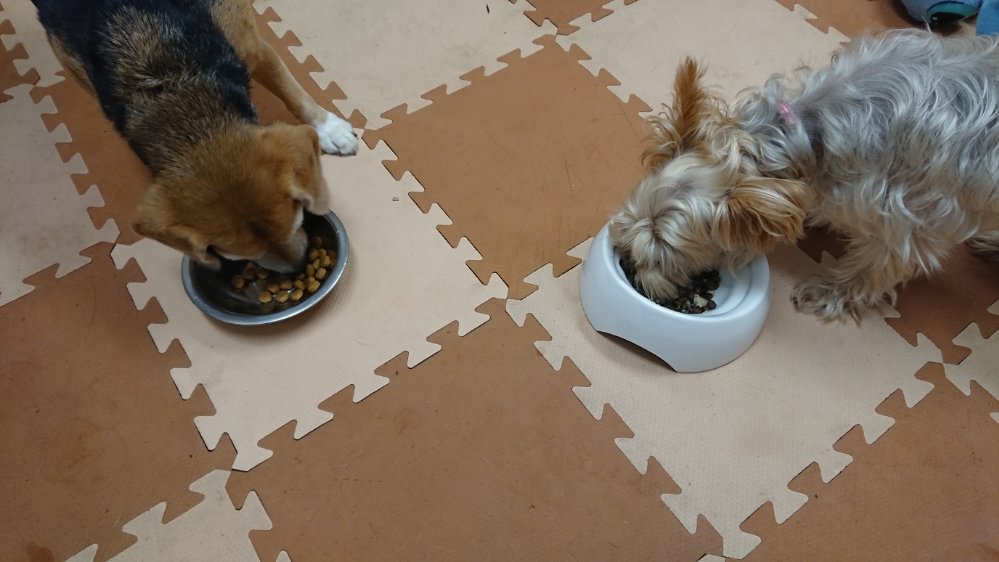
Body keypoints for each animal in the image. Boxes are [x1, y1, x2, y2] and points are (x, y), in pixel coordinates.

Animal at [32, 0, 359, 273]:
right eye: (238, 256)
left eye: (298, 217)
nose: (298, 268)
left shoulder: (252, 47)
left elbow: (293, 93)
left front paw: (329, 129)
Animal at [610, 29, 999, 322]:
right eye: (628, 222)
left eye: (660, 254)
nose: (625, 258)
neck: (803, 134)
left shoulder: (906, 218)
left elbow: (880, 262)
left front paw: (829, 294)